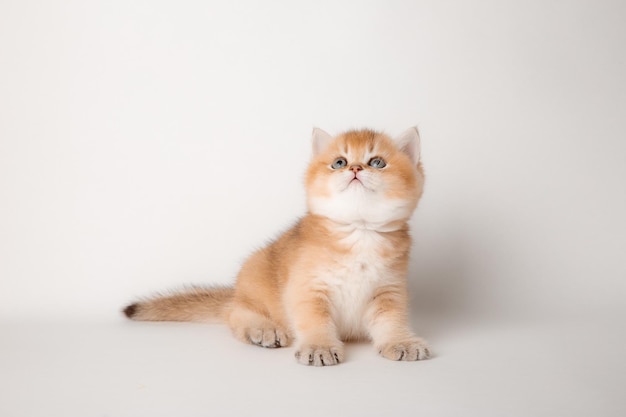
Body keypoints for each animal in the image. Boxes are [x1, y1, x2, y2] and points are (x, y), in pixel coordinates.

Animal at [125, 126, 432, 364]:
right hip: (253, 290)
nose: (355, 168)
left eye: (377, 162)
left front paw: (402, 342)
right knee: (235, 315)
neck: (359, 232)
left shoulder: (389, 292)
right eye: (339, 162)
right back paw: (264, 330)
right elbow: (314, 320)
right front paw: (319, 346)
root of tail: (235, 293)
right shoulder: (307, 289)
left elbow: (392, 321)